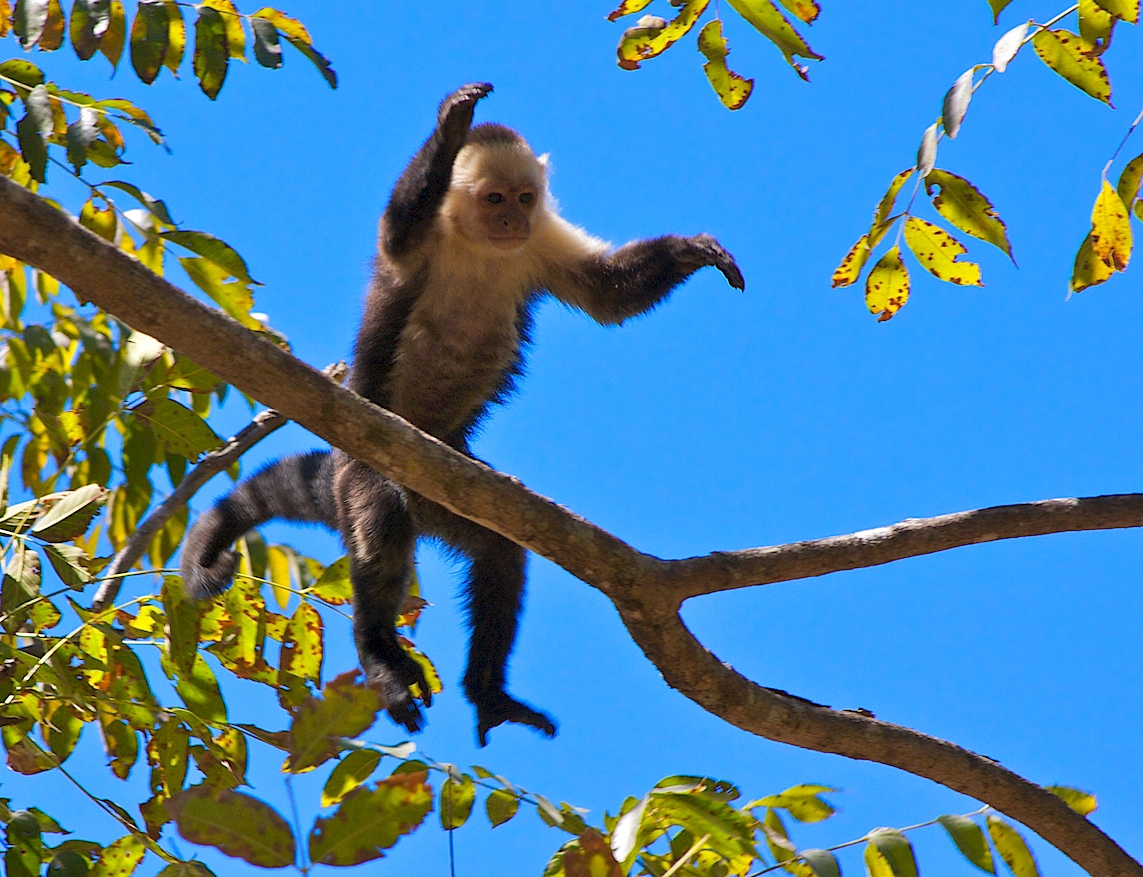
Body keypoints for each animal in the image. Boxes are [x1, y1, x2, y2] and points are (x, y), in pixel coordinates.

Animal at [180, 82, 740, 745]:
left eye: (524, 199)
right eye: (493, 198)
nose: (511, 220)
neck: (476, 243)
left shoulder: (540, 242)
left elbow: (607, 294)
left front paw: (693, 251)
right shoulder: (419, 242)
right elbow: (397, 231)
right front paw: (449, 128)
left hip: (451, 497)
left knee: (500, 552)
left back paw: (489, 692)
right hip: (359, 473)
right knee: (384, 520)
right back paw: (378, 652)